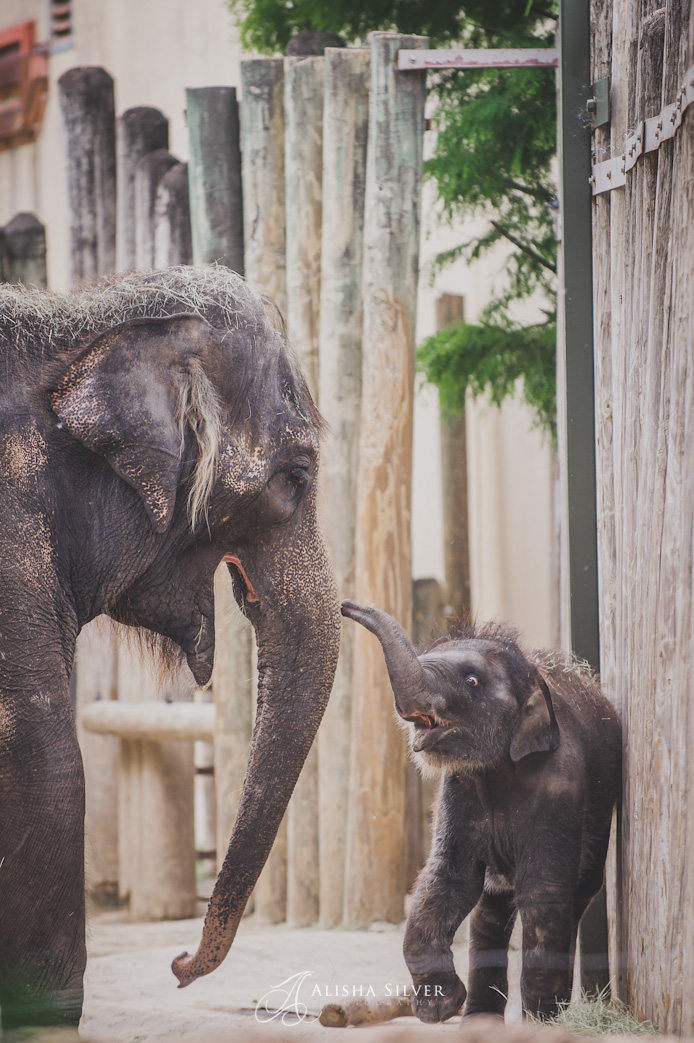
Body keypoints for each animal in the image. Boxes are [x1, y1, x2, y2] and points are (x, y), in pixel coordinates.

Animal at [344, 600, 617, 1022]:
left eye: (472, 681)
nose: (347, 605)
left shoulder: (563, 787)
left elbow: (543, 891)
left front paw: (540, 1023)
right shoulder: (456, 790)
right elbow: (448, 879)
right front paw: (439, 1007)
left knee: (575, 896)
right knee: (491, 905)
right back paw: (477, 1020)